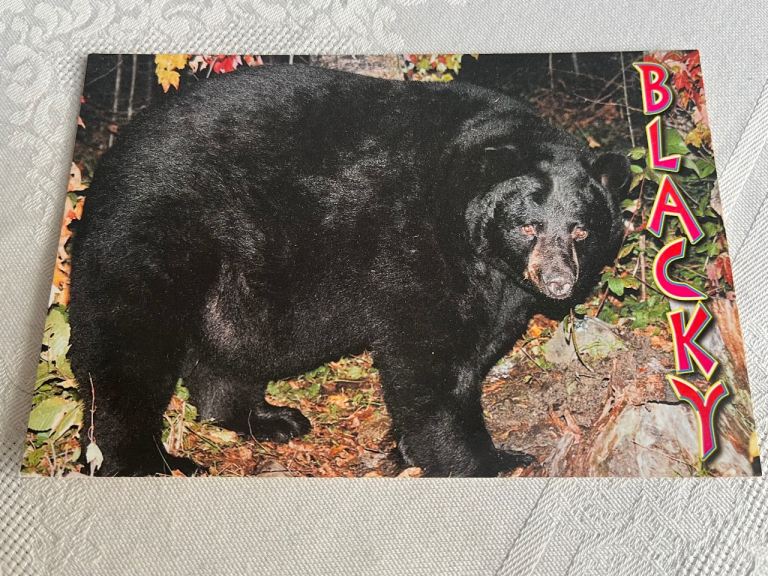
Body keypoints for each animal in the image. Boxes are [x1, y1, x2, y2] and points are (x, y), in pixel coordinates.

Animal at [68, 64, 630, 477]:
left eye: (581, 231)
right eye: (528, 226)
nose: (557, 282)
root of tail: (112, 158)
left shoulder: (499, 288)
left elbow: (477, 345)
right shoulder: (415, 243)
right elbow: (428, 353)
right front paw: (486, 459)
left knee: (229, 349)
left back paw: (268, 418)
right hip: (158, 232)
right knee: (130, 345)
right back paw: (147, 461)